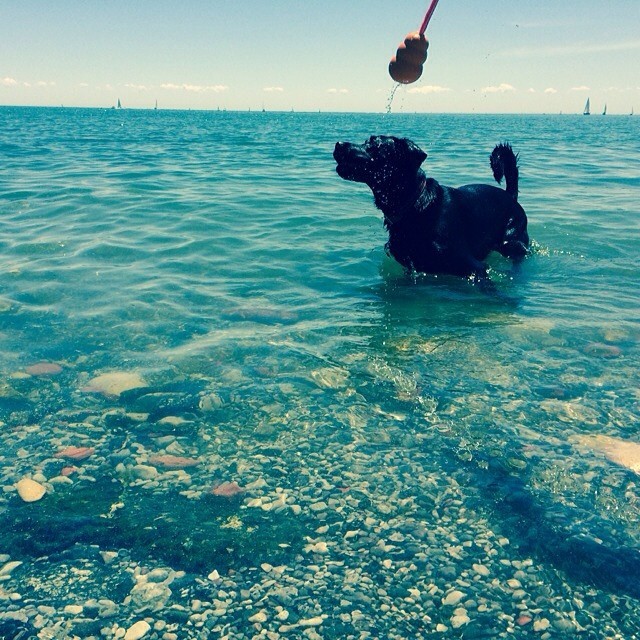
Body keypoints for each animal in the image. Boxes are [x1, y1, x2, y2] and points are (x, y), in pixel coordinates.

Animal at [332, 135, 528, 282]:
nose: (338, 144)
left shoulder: (475, 267)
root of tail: (510, 195)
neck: (414, 205)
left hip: (512, 241)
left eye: (376, 145)